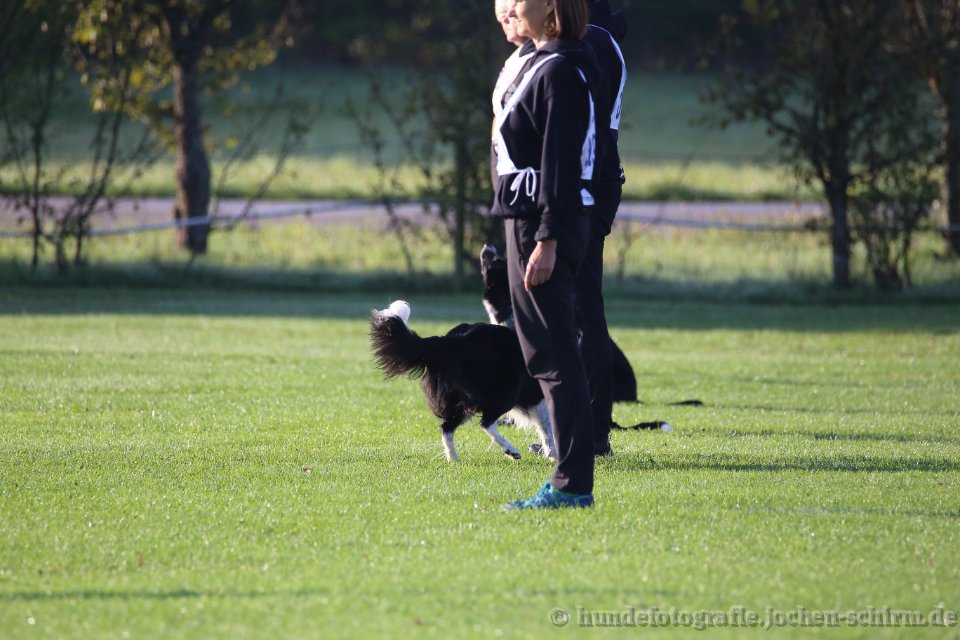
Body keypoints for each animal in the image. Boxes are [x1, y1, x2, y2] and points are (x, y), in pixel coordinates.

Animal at [369, 300, 557, 462]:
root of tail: (451, 341)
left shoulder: (538, 401)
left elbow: (546, 428)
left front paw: (552, 454)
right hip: (505, 392)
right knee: (485, 423)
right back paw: (511, 450)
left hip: (459, 399)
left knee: (446, 428)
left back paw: (453, 459)